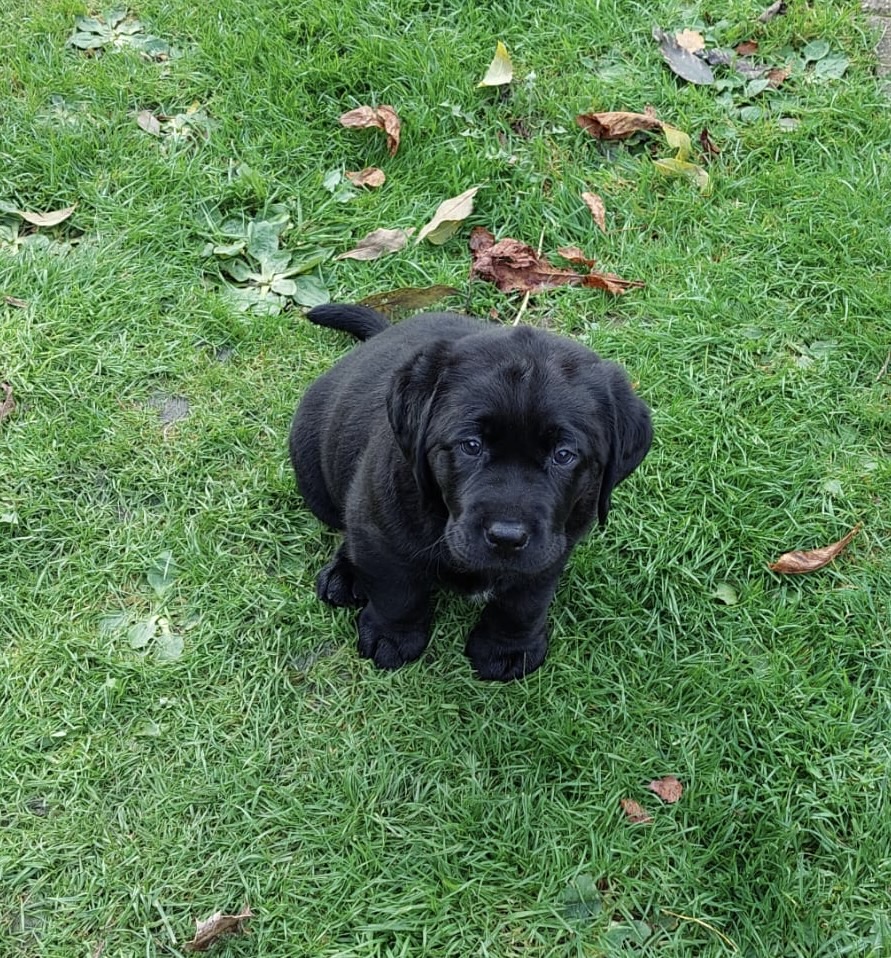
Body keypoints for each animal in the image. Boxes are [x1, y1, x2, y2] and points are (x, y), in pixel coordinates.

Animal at [292, 308, 656, 684]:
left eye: (564, 455)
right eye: (471, 445)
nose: (507, 538)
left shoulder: (554, 547)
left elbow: (524, 601)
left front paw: (507, 649)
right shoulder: (377, 525)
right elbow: (396, 591)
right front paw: (391, 637)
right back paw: (345, 574)